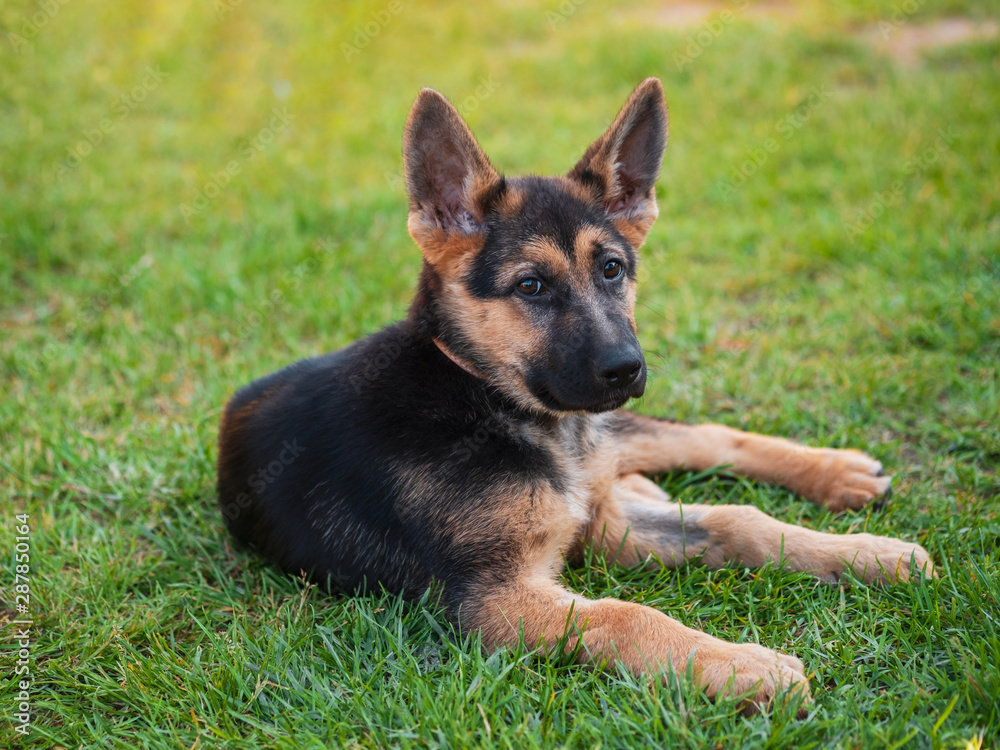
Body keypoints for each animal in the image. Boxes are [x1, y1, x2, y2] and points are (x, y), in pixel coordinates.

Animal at [215, 79, 932, 712]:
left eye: (612, 269)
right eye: (530, 286)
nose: (626, 368)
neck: (484, 396)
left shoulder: (594, 521)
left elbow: (740, 520)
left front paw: (867, 554)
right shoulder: (498, 595)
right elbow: (629, 615)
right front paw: (742, 664)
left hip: (619, 434)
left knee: (702, 438)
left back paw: (839, 471)